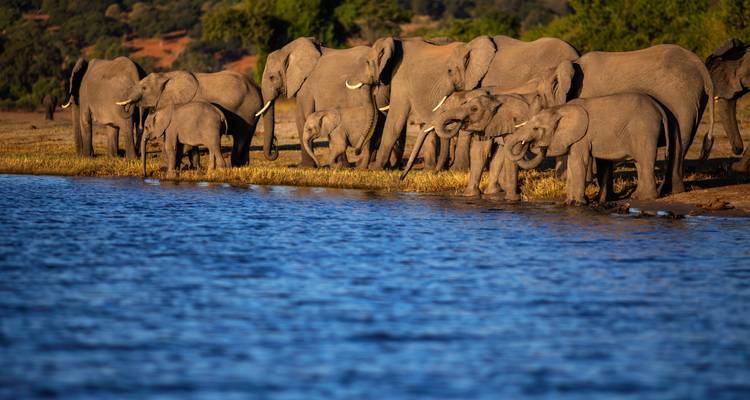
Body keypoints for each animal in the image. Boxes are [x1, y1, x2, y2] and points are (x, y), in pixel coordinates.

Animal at [118, 70, 261, 167]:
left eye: (144, 88)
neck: (167, 76)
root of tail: (257, 89)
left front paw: (164, 167)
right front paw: (194, 168)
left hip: (247, 111)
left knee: (240, 137)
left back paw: (235, 166)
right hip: (253, 114)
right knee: (247, 137)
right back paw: (243, 165)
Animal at [256, 37, 390, 168]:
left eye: (272, 77)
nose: (275, 144)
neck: (288, 49)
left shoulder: (306, 86)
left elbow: (301, 116)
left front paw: (305, 167)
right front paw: (341, 166)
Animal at [505, 93, 672, 205]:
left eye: (536, 128)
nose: (537, 145)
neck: (561, 109)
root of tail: (659, 107)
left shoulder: (582, 136)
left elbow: (578, 162)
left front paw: (577, 204)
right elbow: (572, 163)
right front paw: (569, 202)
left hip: (644, 130)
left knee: (645, 160)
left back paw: (647, 198)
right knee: (640, 162)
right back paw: (637, 196)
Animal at [533, 44, 714, 194]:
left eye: (539, 96)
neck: (571, 64)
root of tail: (702, 68)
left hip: (681, 100)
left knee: (677, 144)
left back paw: (665, 191)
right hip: (694, 101)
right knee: (681, 144)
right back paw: (673, 191)